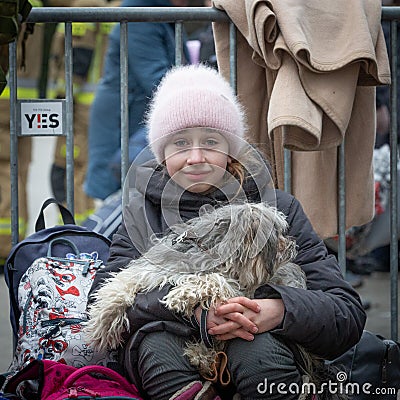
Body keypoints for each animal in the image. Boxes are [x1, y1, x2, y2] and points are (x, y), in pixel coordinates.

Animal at [86, 202, 310, 380]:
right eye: (278, 233)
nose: (293, 245)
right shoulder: (152, 269)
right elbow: (121, 284)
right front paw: (103, 323)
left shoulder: (239, 290)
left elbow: (213, 279)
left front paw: (181, 295)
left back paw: (202, 355)